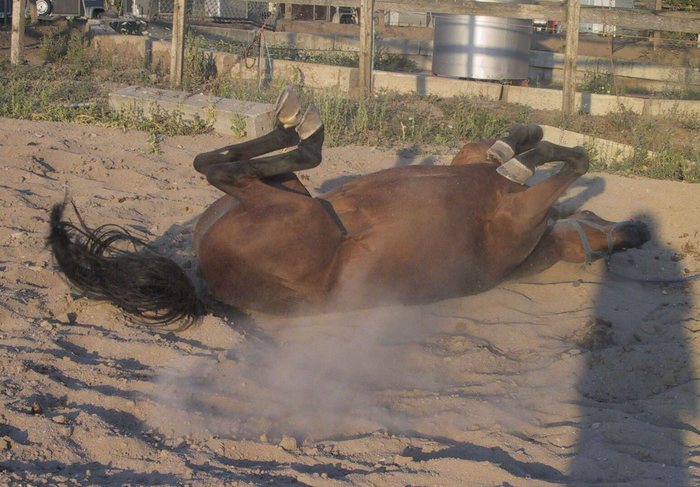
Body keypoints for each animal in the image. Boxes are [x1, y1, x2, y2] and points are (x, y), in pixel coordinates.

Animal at [49, 89, 652, 330]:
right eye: (602, 227)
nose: (639, 231)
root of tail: (205, 281)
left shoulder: (519, 212)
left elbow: (569, 159)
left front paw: (522, 158)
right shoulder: (480, 170)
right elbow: (535, 143)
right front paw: (519, 148)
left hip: (296, 209)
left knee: (227, 166)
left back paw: (301, 124)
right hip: (294, 198)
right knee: (229, 162)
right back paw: (296, 118)